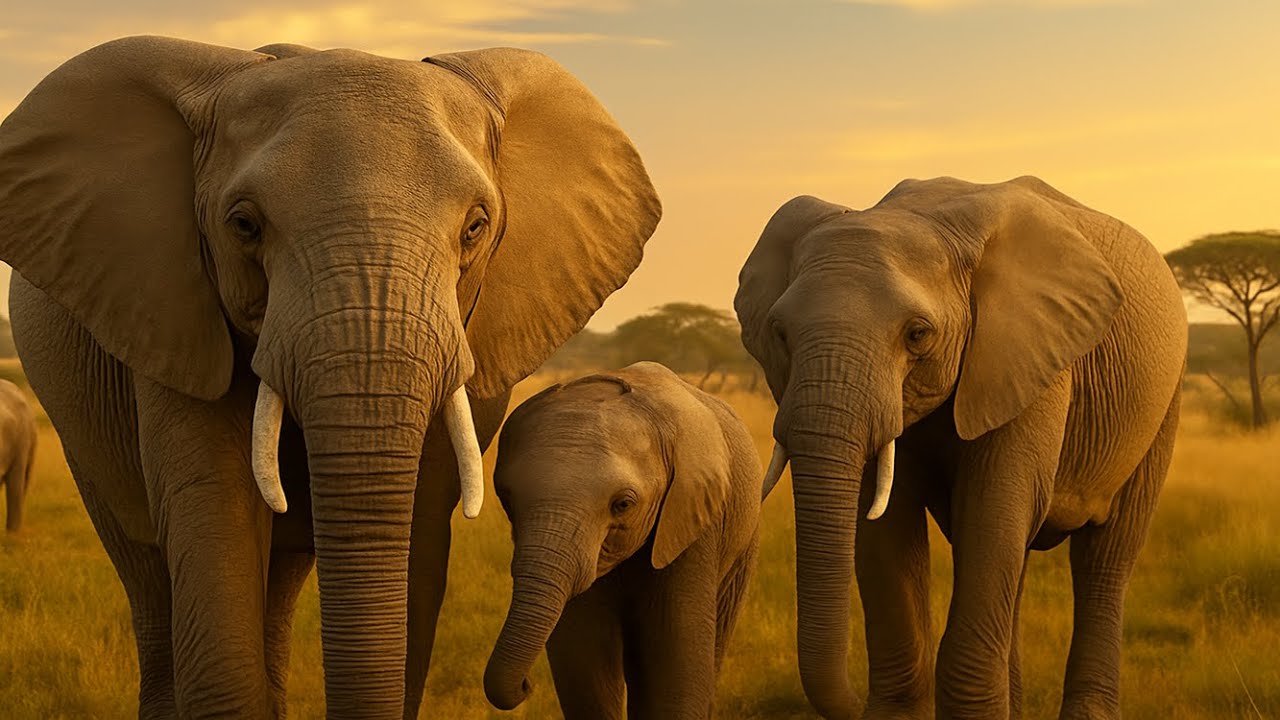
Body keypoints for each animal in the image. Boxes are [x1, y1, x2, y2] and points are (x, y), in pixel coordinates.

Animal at [0, 36, 659, 719]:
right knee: (148, 574)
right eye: (243, 225)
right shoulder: (172, 310)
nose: (526, 690)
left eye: (476, 226)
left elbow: (420, 536)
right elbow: (216, 518)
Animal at [484, 362, 763, 719]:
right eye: (506, 498)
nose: (526, 686)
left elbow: (676, 669)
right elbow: (585, 666)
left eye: (623, 505)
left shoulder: (693, 519)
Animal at [735, 176, 1185, 719]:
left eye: (918, 334)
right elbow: (886, 523)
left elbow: (994, 506)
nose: (853, 705)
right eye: (779, 332)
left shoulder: (1031, 355)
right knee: (1017, 559)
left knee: (1105, 559)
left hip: (1163, 403)